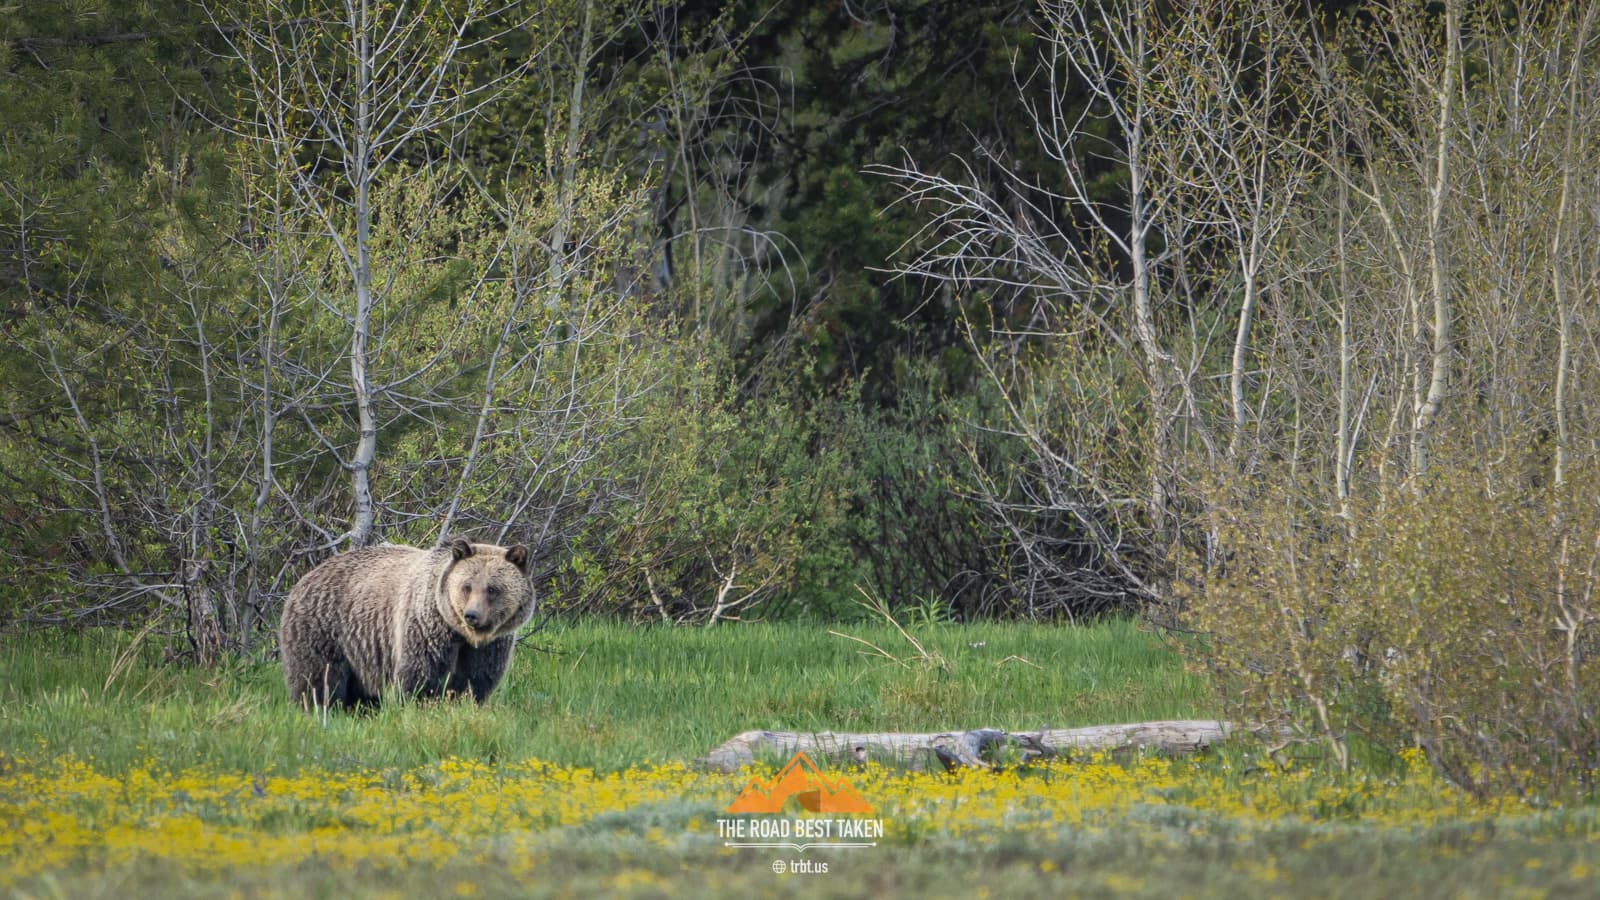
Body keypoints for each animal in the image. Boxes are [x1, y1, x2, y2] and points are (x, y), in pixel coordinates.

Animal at [279, 536, 534, 710]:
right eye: (467, 586)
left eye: (492, 589)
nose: (472, 615)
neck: (461, 634)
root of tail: (305, 577)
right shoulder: (426, 629)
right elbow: (419, 677)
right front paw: (418, 706)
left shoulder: (488, 646)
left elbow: (476, 681)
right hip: (324, 629)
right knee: (318, 679)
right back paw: (318, 708)